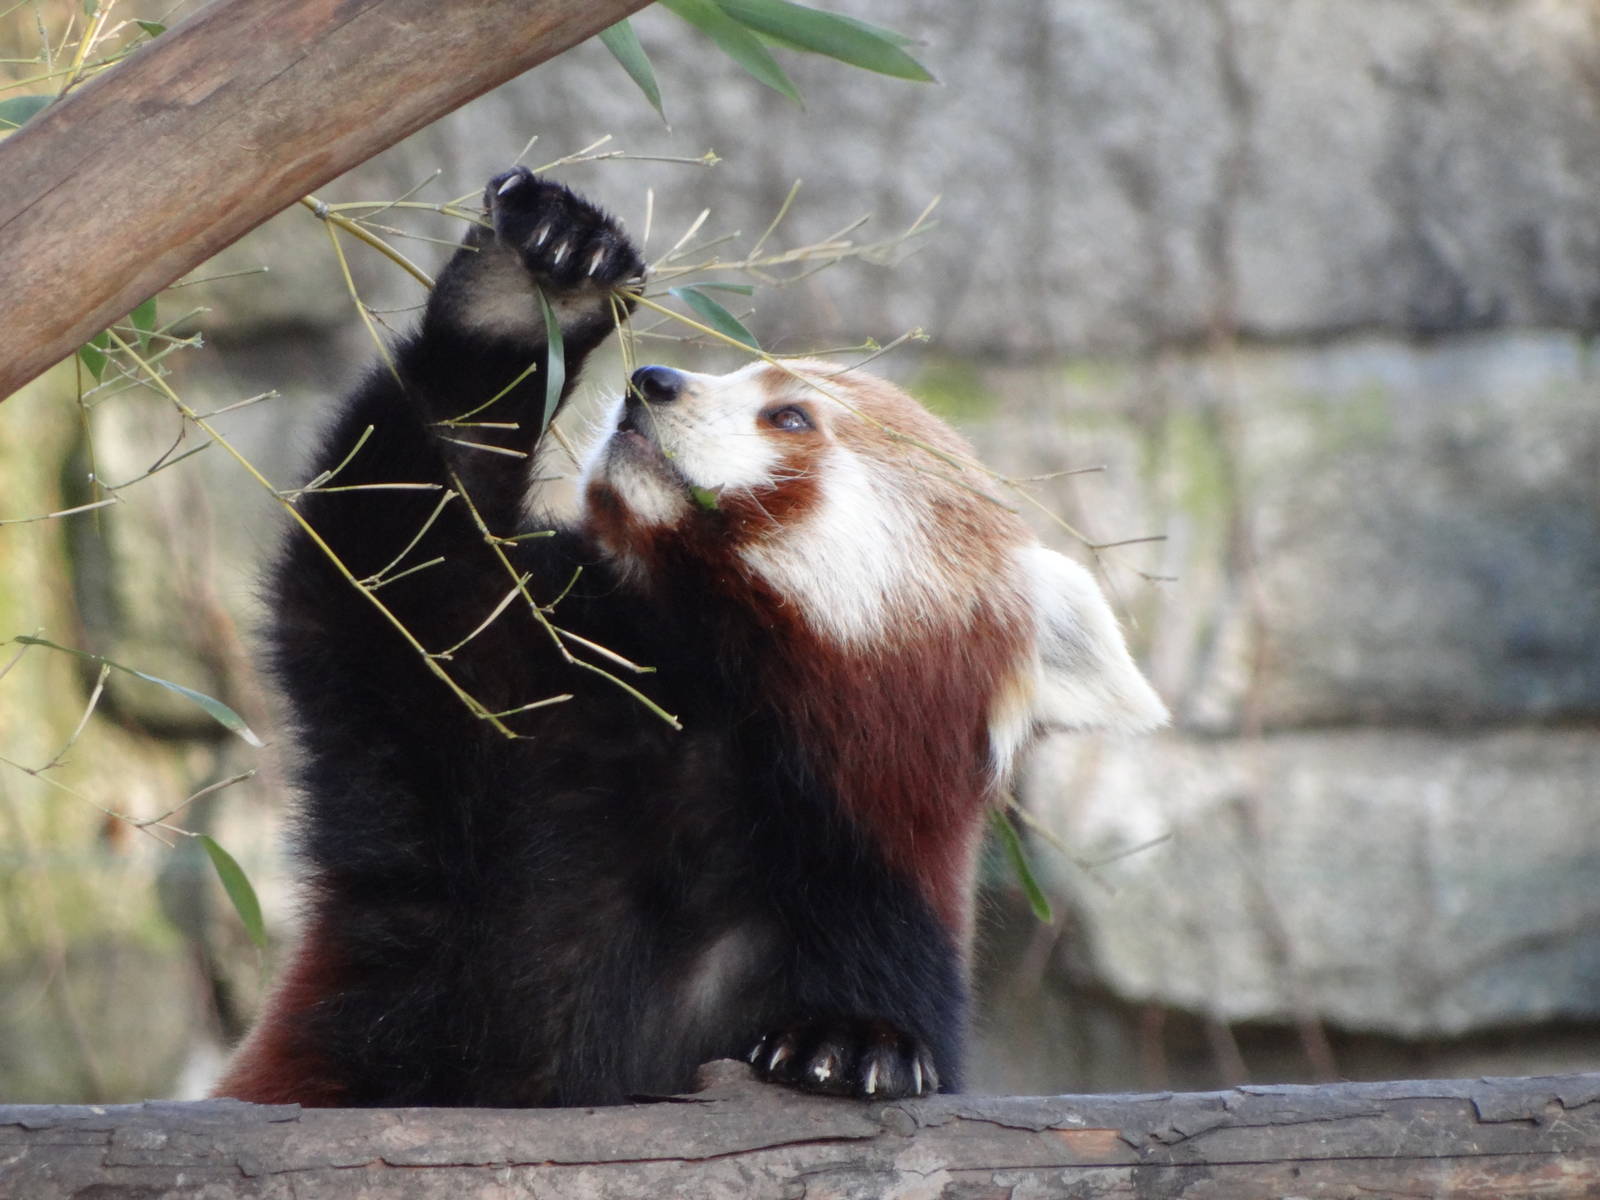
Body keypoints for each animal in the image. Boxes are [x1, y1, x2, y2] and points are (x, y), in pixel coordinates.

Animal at [214, 168, 1167, 1108]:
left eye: (790, 417)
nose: (654, 380)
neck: (720, 702)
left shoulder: (870, 893)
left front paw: (852, 1043)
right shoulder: (502, 716)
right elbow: (391, 548)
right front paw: (532, 285)